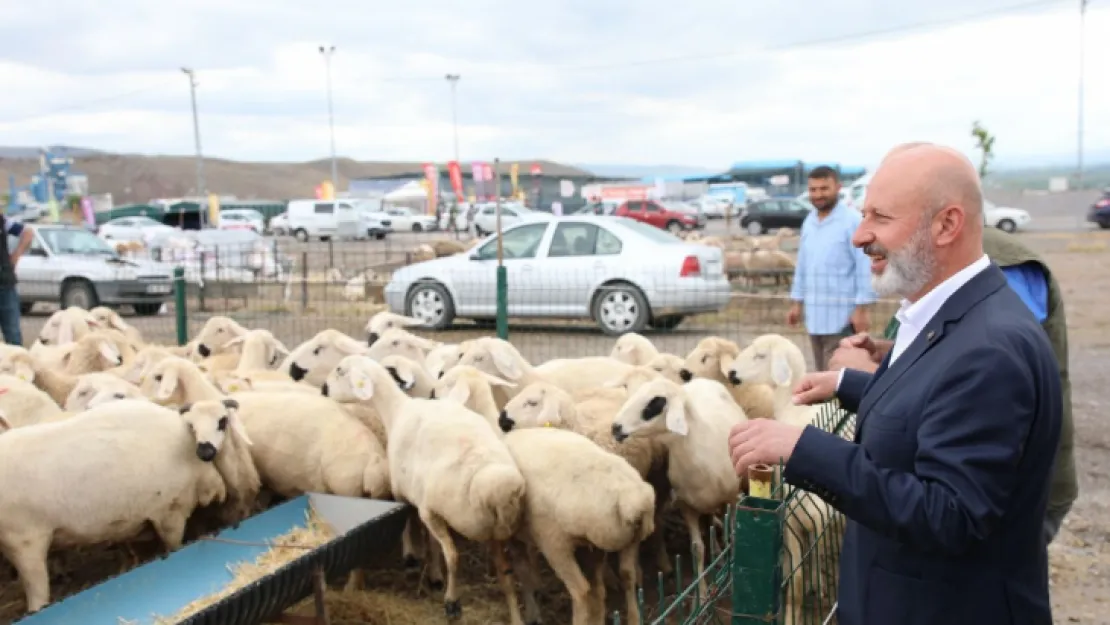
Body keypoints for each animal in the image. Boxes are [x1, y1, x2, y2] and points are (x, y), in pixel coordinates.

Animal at [324, 355, 528, 621]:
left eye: (339, 370)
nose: (324, 389)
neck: (396, 410)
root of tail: (499, 484)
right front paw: (431, 570)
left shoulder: (409, 496)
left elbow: (409, 525)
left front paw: (416, 560)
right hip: (495, 531)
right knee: (506, 575)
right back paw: (516, 616)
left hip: (449, 513)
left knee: (453, 556)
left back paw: (452, 603)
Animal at [506, 428, 657, 625]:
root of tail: (632, 501)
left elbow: (523, 570)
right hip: (614, 541)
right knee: (624, 577)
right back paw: (632, 618)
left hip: (556, 544)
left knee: (581, 591)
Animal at [612, 377, 750, 595]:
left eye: (656, 402)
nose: (615, 428)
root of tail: (701, 380)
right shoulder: (687, 507)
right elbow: (697, 549)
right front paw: (702, 593)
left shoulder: (733, 499)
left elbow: (736, 535)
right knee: (708, 522)